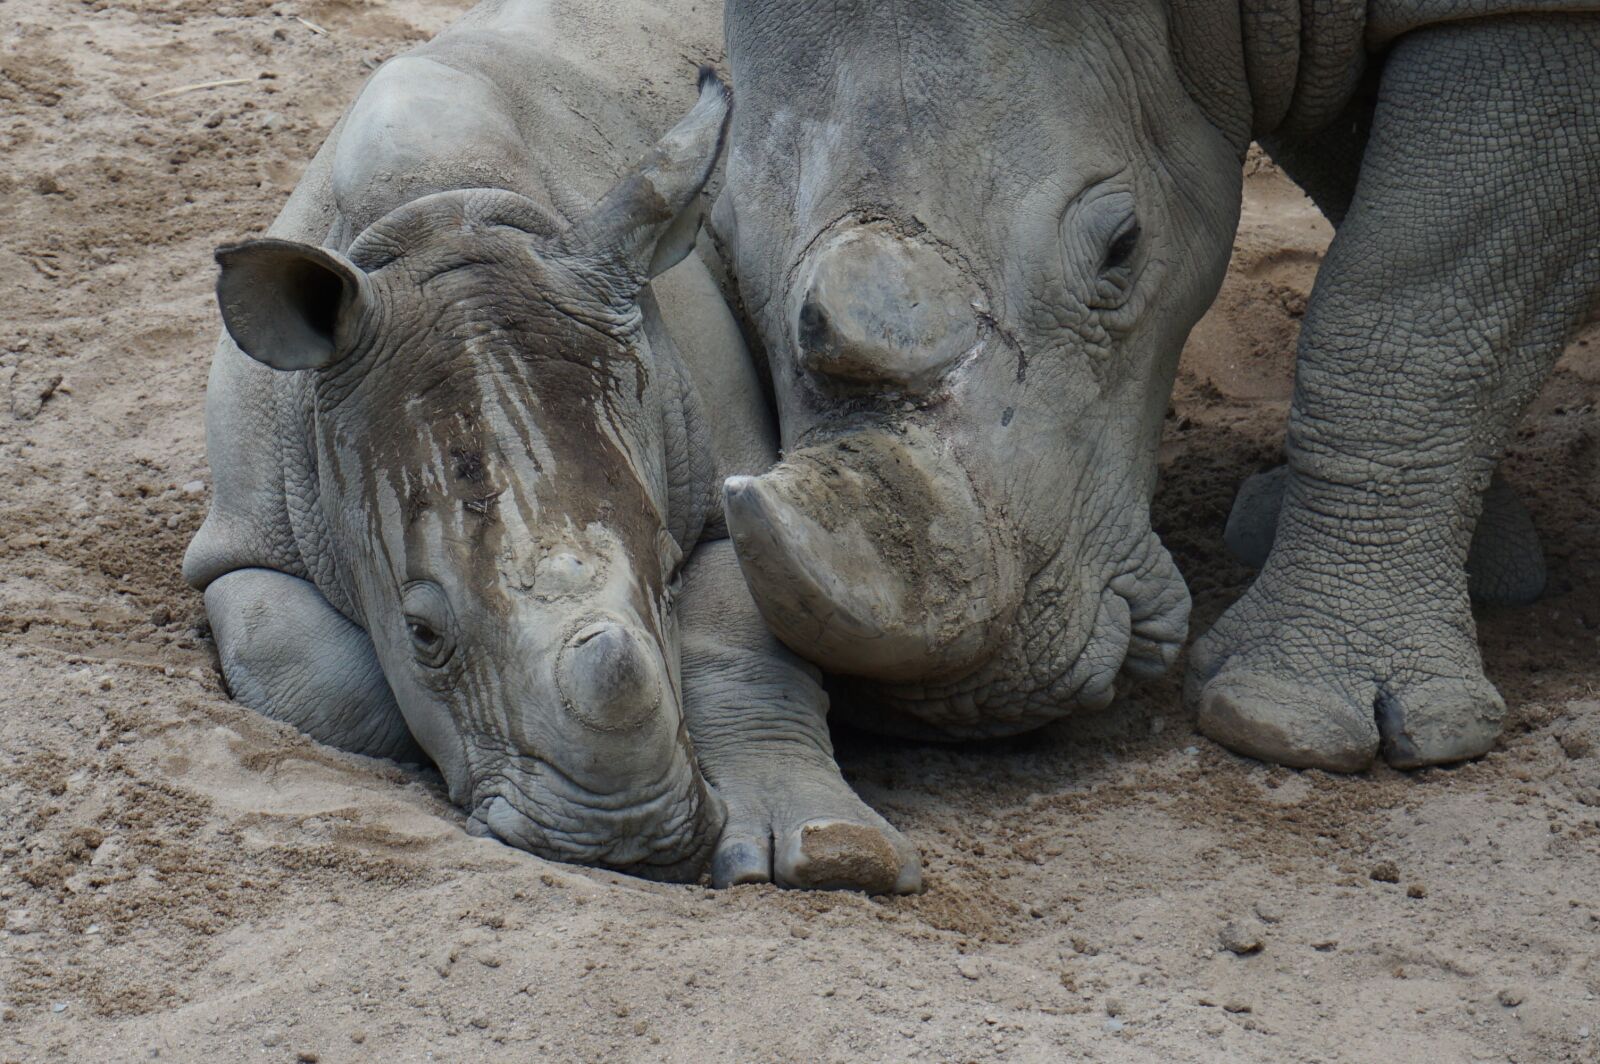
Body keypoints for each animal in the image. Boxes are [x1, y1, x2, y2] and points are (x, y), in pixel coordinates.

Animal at [184, 0, 918, 892]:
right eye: (421, 632)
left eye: (668, 572)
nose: (624, 839)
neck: (441, 212)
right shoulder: (243, 539)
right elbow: (317, 669)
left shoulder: (732, 480)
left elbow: (743, 635)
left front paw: (836, 854)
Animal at [712, 0, 1599, 771]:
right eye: (722, 244)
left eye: (1124, 246)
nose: (947, 706)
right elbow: (1399, 243)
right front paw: (1487, 568)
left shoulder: (1535, 22)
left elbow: (1405, 303)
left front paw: (1283, 723)